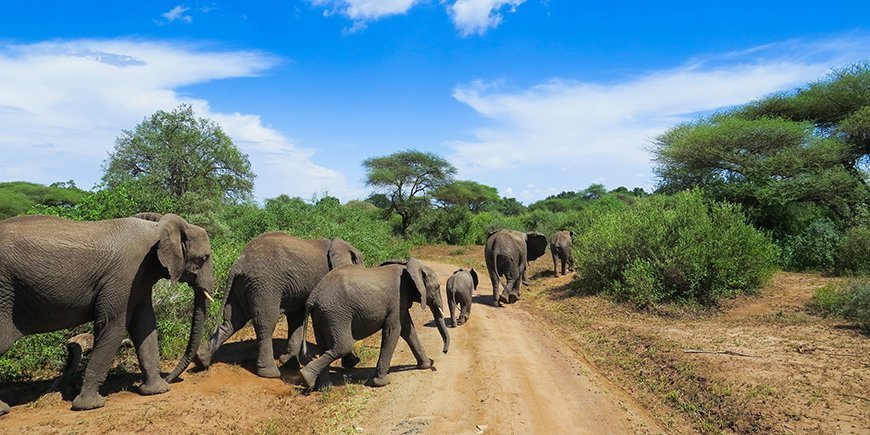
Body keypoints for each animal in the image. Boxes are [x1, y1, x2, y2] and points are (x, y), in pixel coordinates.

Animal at [0, 213, 214, 414]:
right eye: (204, 258)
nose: (170, 378)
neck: (156, 228)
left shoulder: (139, 279)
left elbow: (144, 325)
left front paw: (157, 390)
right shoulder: (125, 276)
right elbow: (114, 326)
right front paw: (90, 405)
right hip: (4, 292)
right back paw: (4, 410)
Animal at [193, 232, 364, 378]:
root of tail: (239, 262)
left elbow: (296, 320)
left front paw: (289, 362)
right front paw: (353, 363)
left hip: (241, 286)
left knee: (232, 322)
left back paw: (200, 360)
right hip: (264, 285)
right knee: (265, 324)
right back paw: (270, 373)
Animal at [298, 258, 450, 390]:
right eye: (437, 287)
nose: (444, 352)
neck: (407, 267)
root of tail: (312, 298)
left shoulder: (401, 302)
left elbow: (408, 330)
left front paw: (426, 364)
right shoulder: (398, 299)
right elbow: (394, 331)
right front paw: (382, 382)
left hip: (321, 315)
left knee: (323, 346)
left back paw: (323, 387)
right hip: (336, 314)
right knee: (343, 346)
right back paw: (306, 377)